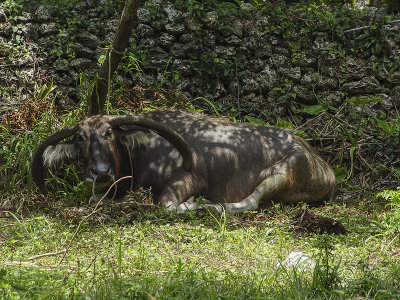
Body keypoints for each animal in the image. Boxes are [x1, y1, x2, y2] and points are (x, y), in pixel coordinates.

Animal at [32, 110, 338, 213]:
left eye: (109, 133)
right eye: (80, 138)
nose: (100, 172)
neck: (139, 156)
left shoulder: (188, 178)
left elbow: (165, 205)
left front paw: (191, 204)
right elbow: (95, 199)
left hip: (283, 172)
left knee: (250, 202)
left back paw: (211, 206)